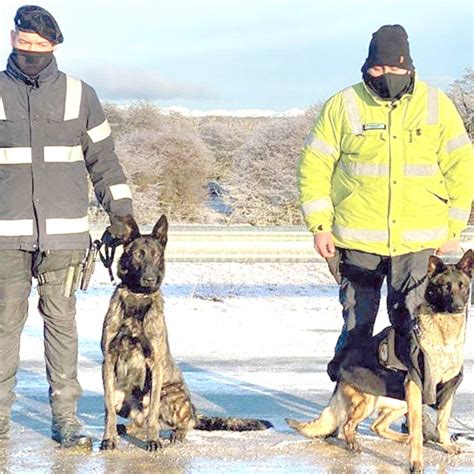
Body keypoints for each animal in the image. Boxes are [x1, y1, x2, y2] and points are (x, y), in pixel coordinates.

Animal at [100, 216, 270, 452]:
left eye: (156, 255)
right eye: (138, 254)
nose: (149, 279)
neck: (138, 299)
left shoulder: (154, 365)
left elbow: (153, 413)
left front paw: (153, 441)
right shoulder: (108, 361)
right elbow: (108, 409)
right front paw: (109, 438)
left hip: (168, 393)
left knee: (181, 421)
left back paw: (176, 432)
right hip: (122, 395)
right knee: (138, 422)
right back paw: (125, 429)